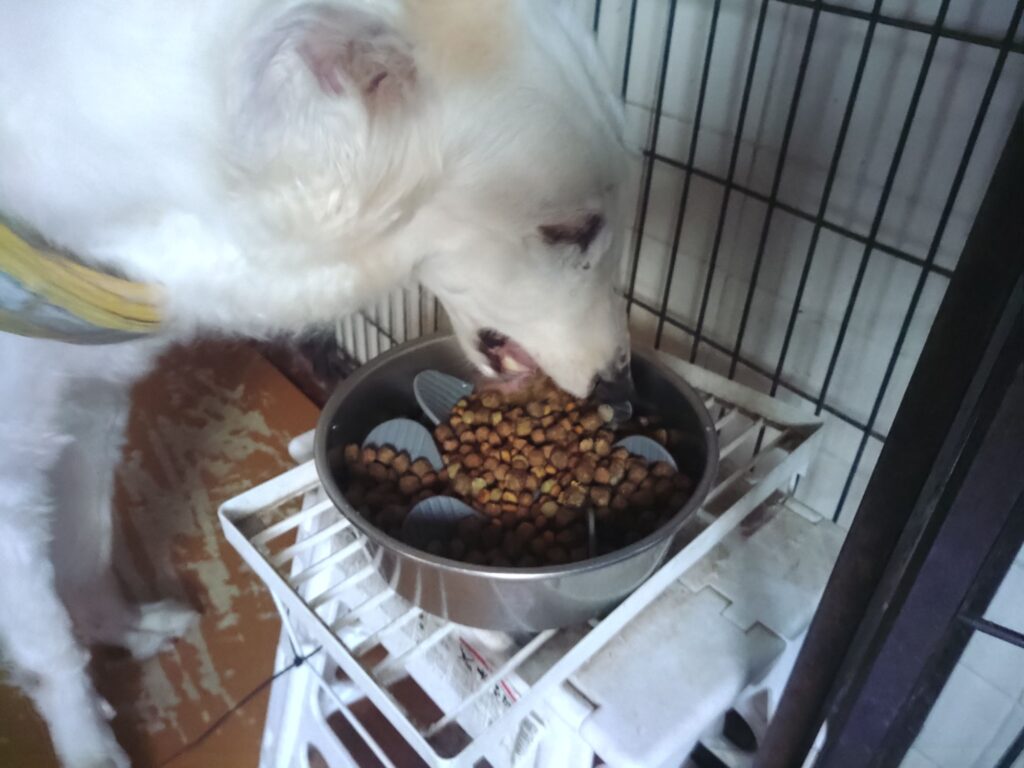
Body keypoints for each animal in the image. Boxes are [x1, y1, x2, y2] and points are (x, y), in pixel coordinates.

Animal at [0, 1, 630, 765]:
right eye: (570, 230)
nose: (620, 379)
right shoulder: (10, 471)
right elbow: (50, 650)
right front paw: (90, 745)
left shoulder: (91, 400)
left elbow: (85, 548)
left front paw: (121, 628)